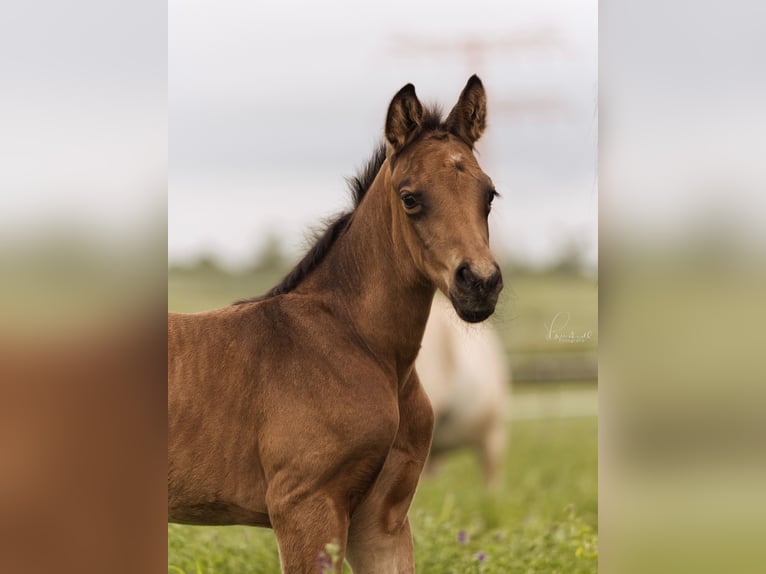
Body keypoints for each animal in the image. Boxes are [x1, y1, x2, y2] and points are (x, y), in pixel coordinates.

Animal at [168, 76, 504, 574]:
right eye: (410, 197)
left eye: (489, 194)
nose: (480, 283)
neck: (359, 346)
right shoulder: (305, 507)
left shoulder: (382, 521)